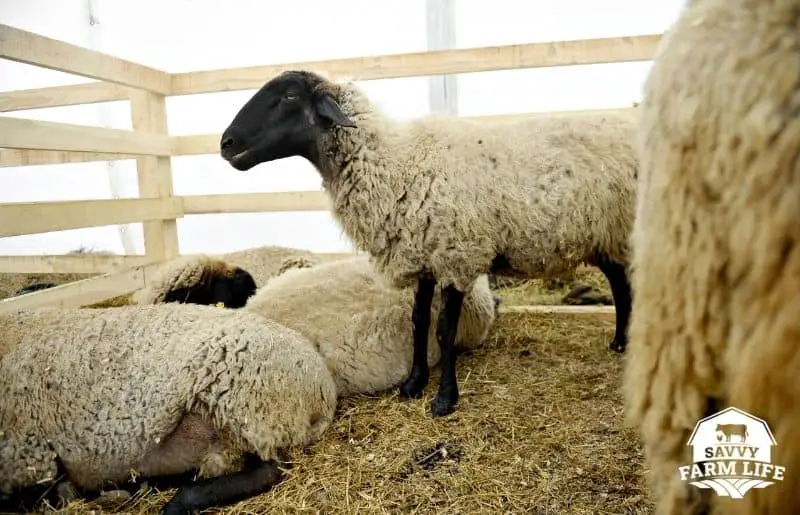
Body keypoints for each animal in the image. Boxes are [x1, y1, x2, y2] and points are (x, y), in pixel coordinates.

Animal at [0, 303, 337, 514]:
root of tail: (323, 388)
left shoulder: (29, 453)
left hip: (247, 406)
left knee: (268, 470)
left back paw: (174, 505)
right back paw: (142, 487)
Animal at [218, 70, 639, 416]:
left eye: (289, 96)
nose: (226, 143)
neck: (396, 164)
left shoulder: (457, 255)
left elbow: (444, 330)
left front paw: (444, 398)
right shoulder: (420, 256)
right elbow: (418, 321)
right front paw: (413, 383)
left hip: (623, 229)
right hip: (604, 234)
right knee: (619, 284)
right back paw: (619, 342)